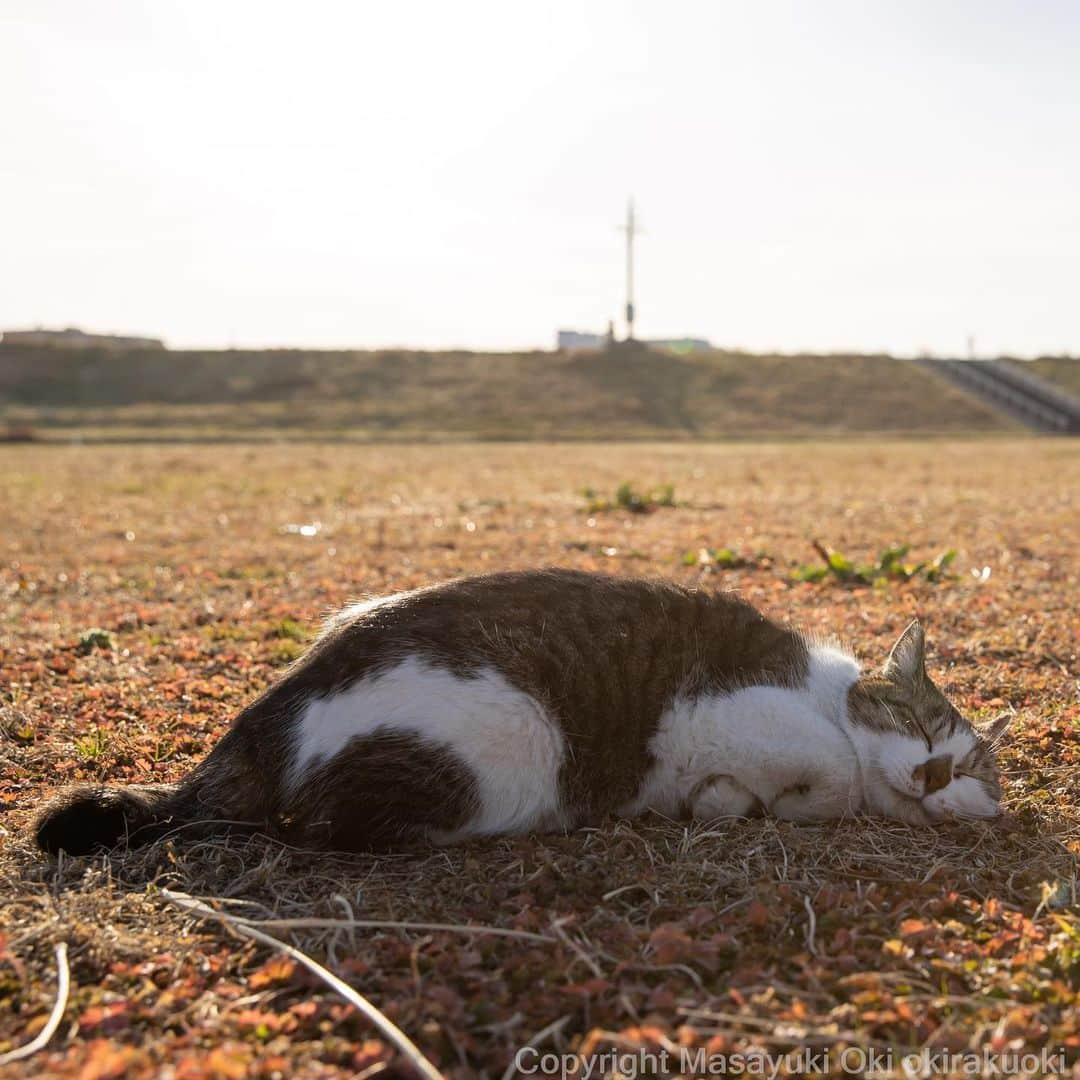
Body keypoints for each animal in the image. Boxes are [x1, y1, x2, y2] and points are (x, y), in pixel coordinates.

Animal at [35, 570, 1010, 855]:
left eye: (971, 773)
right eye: (928, 732)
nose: (934, 772)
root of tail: (264, 715)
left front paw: (726, 803)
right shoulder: (725, 712)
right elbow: (826, 774)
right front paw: (765, 799)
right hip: (513, 744)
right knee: (312, 825)